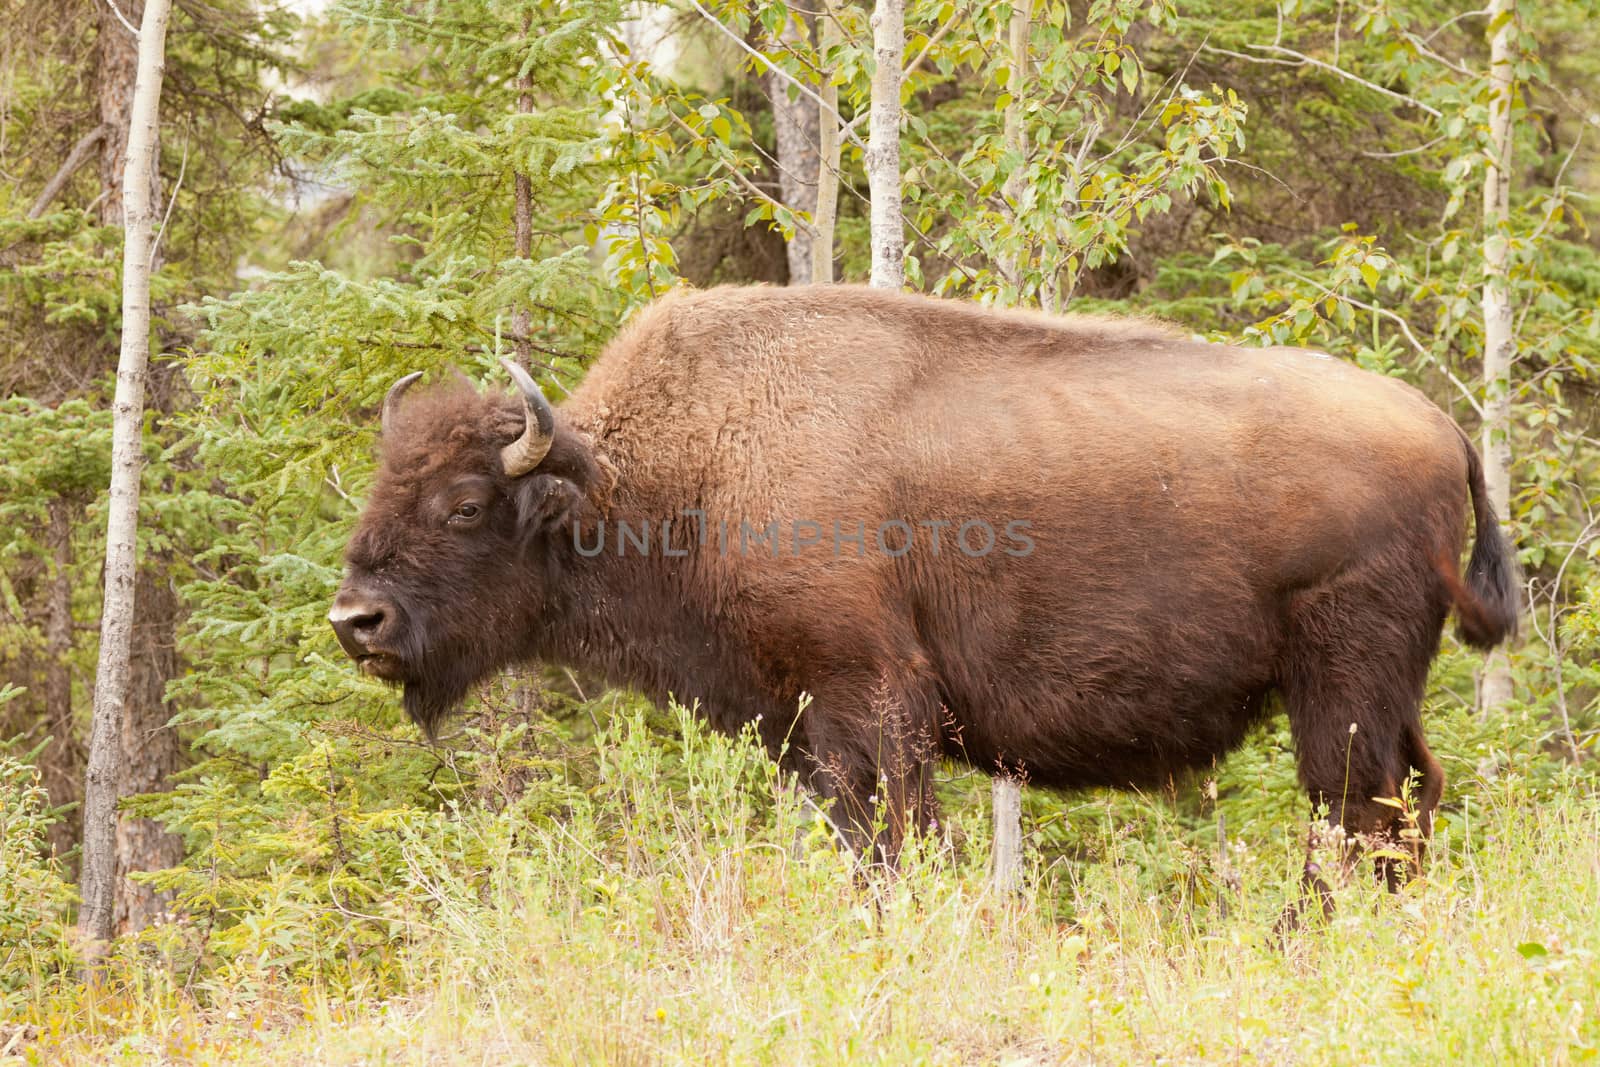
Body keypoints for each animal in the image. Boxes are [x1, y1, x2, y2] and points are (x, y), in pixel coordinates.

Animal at [331, 281, 1516, 870]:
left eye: (466, 505)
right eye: (382, 485)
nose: (356, 619)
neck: (676, 469)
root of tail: (1442, 427)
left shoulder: (870, 694)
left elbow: (899, 833)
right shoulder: (801, 724)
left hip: (1337, 682)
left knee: (1352, 812)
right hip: (1380, 688)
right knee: (1407, 801)